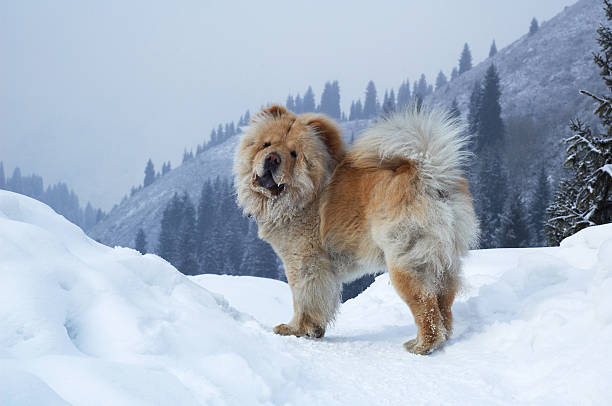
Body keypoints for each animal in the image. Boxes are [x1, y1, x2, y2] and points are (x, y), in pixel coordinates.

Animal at [233, 105, 478, 356]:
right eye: (266, 144)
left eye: (294, 154)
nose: (272, 158)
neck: (304, 195)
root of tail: (429, 175)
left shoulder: (303, 261)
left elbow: (303, 299)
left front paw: (296, 329)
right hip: (445, 263)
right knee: (443, 307)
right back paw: (439, 341)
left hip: (406, 262)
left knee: (426, 305)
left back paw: (421, 346)